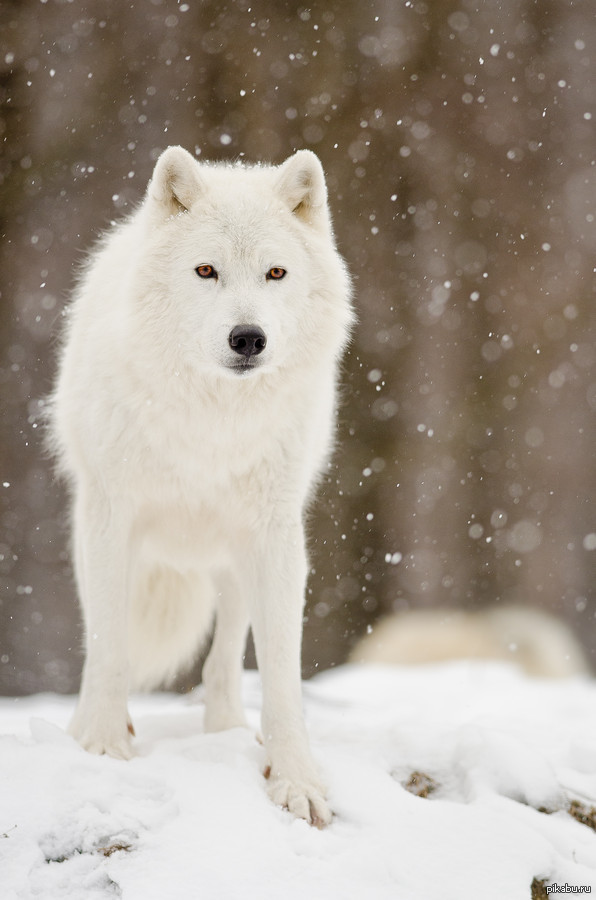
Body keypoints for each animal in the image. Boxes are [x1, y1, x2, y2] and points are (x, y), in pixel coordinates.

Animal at [50, 144, 354, 828]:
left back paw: (226, 730)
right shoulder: (111, 520)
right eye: (206, 270)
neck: (213, 422)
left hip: (233, 554)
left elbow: (281, 672)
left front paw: (295, 780)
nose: (248, 338)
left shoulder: (276, 538)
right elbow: (108, 645)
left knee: (225, 654)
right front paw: (102, 745)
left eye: (275, 273)